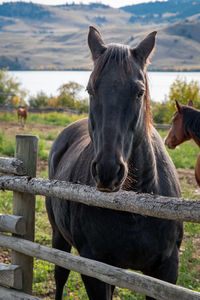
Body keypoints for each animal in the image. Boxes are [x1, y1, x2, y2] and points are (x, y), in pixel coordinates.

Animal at [46, 27, 184, 298]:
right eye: (90, 90)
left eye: (139, 92)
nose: (108, 171)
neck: (136, 208)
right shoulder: (94, 267)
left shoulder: (166, 270)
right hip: (59, 239)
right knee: (60, 277)